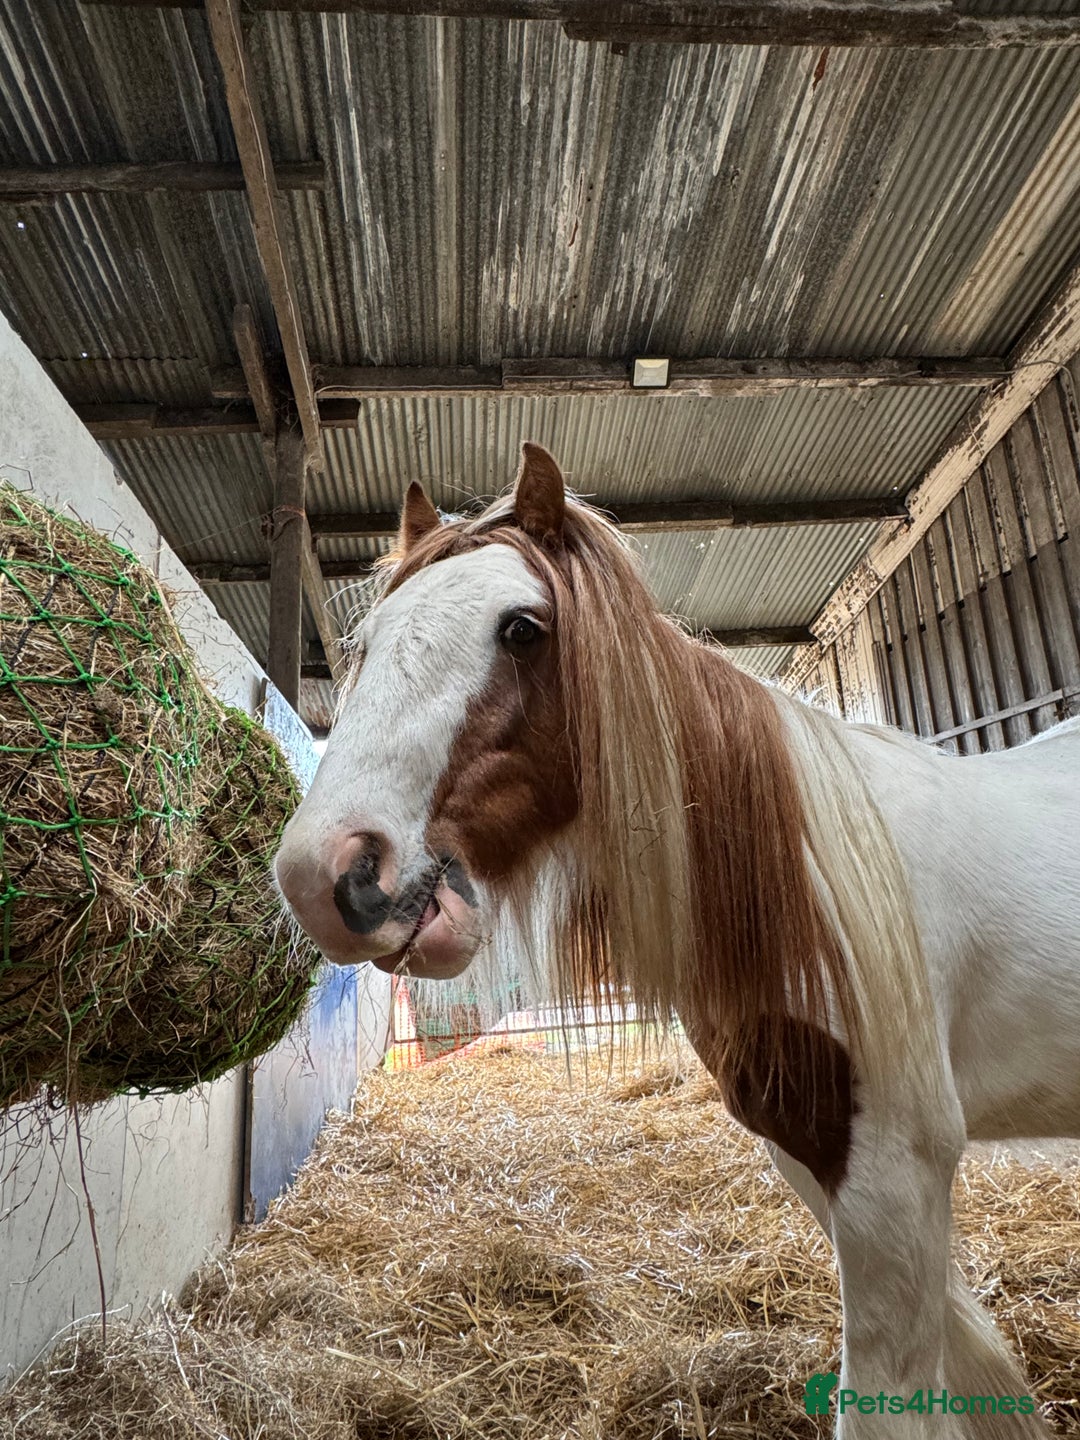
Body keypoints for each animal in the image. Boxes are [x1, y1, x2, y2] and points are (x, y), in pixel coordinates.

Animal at [274, 442, 1080, 1438]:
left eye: (523, 629)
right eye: (368, 645)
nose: (325, 872)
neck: (805, 885)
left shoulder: (896, 1166)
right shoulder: (810, 1150)